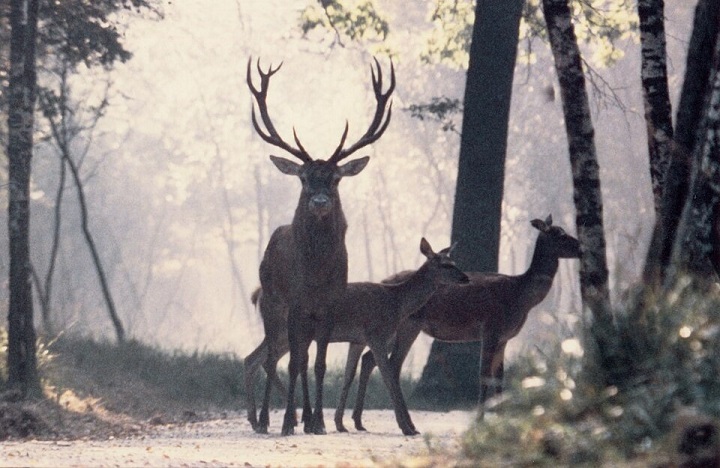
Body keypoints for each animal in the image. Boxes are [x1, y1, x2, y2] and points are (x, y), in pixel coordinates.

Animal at [246, 57, 394, 436]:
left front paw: (319, 422)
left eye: (336, 178)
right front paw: (288, 421)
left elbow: (320, 365)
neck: (315, 275)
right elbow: (296, 363)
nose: (319, 201)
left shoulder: (328, 306)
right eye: (303, 177)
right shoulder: (296, 304)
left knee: (298, 357)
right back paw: (266, 420)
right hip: (272, 303)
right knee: (273, 356)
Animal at [247, 238, 469, 436]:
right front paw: (407, 428)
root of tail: (258, 295)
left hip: (288, 335)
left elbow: (349, 373)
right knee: (268, 359)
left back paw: (269, 420)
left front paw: (340, 424)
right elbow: (388, 375)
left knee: (260, 359)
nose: (466, 278)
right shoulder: (376, 335)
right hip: (283, 330)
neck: (396, 303)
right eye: (445, 265)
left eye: (454, 261)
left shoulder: (357, 340)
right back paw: (271, 421)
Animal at [334, 215, 581, 432]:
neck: (521, 297)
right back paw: (401, 423)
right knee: (391, 364)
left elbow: (500, 379)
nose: (581, 248)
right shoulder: (490, 328)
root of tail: (384, 280)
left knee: (370, 359)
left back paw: (359, 421)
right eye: (559, 234)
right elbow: (484, 375)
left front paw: (501, 419)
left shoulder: (505, 338)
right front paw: (480, 420)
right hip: (407, 325)